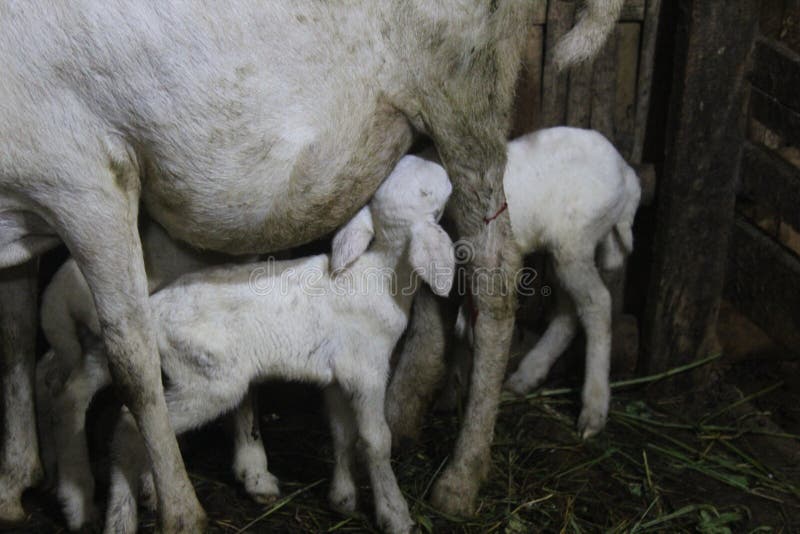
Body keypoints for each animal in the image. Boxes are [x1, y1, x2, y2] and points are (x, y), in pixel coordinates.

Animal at [34, 219, 277, 531]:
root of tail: (55, 297)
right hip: (106, 339)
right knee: (76, 391)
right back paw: (82, 503)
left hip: (81, 343)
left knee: (50, 375)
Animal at [98, 156, 454, 534]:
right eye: (429, 193)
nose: (428, 159)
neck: (381, 276)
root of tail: (154, 309)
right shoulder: (366, 370)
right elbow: (375, 440)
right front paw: (396, 514)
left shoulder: (337, 377)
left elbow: (341, 432)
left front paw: (343, 500)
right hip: (210, 378)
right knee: (129, 426)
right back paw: (123, 517)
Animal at [391, 127, 641, 441]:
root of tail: (628, 177)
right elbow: (462, 328)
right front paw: (451, 394)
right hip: (561, 250)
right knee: (569, 310)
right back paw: (527, 375)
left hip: (577, 239)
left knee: (597, 304)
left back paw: (593, 409)